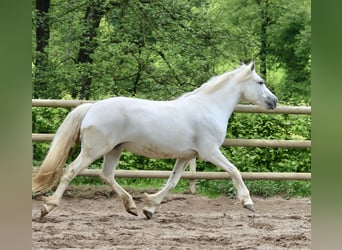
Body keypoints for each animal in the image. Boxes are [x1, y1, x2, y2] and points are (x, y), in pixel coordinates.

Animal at [32, 62, 278, 219]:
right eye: (260, 82)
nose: (274, 101)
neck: (209, 107)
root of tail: (91, 108)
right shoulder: (210, 151)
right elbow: (234, 170)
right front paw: (248, 203)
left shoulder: (186, 156)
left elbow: (172, 182)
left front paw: (150, 208)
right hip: (94, 150)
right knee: (71, 172)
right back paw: (47, 208)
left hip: (114, 150)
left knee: (107, 175)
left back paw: (131, 207)